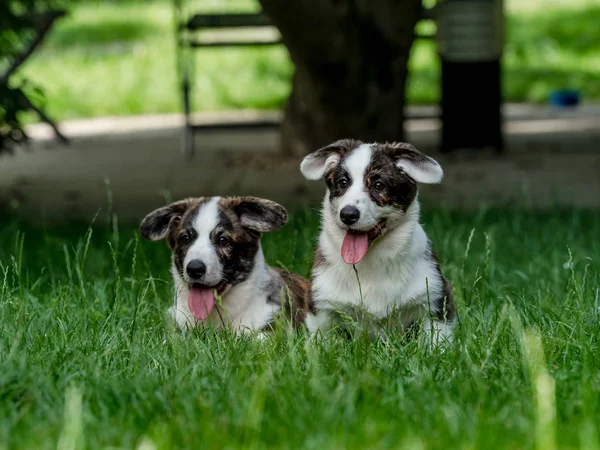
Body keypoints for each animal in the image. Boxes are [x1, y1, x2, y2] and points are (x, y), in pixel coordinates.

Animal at [300, 139, 454, 346]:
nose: (348, 214)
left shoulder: (435, 302)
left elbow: (437, 343)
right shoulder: (322, 310)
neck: (371, 261)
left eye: (379, 185)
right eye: (342, 182)